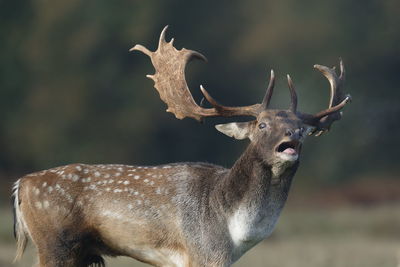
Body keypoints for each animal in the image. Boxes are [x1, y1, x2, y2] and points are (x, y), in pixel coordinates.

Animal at [12, 25, 350, 267]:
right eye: (262, 125)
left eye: (302, 128)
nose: (292, 137)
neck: (232, 227)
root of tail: (20, 186)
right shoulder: (202, 252)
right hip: (54, 244)